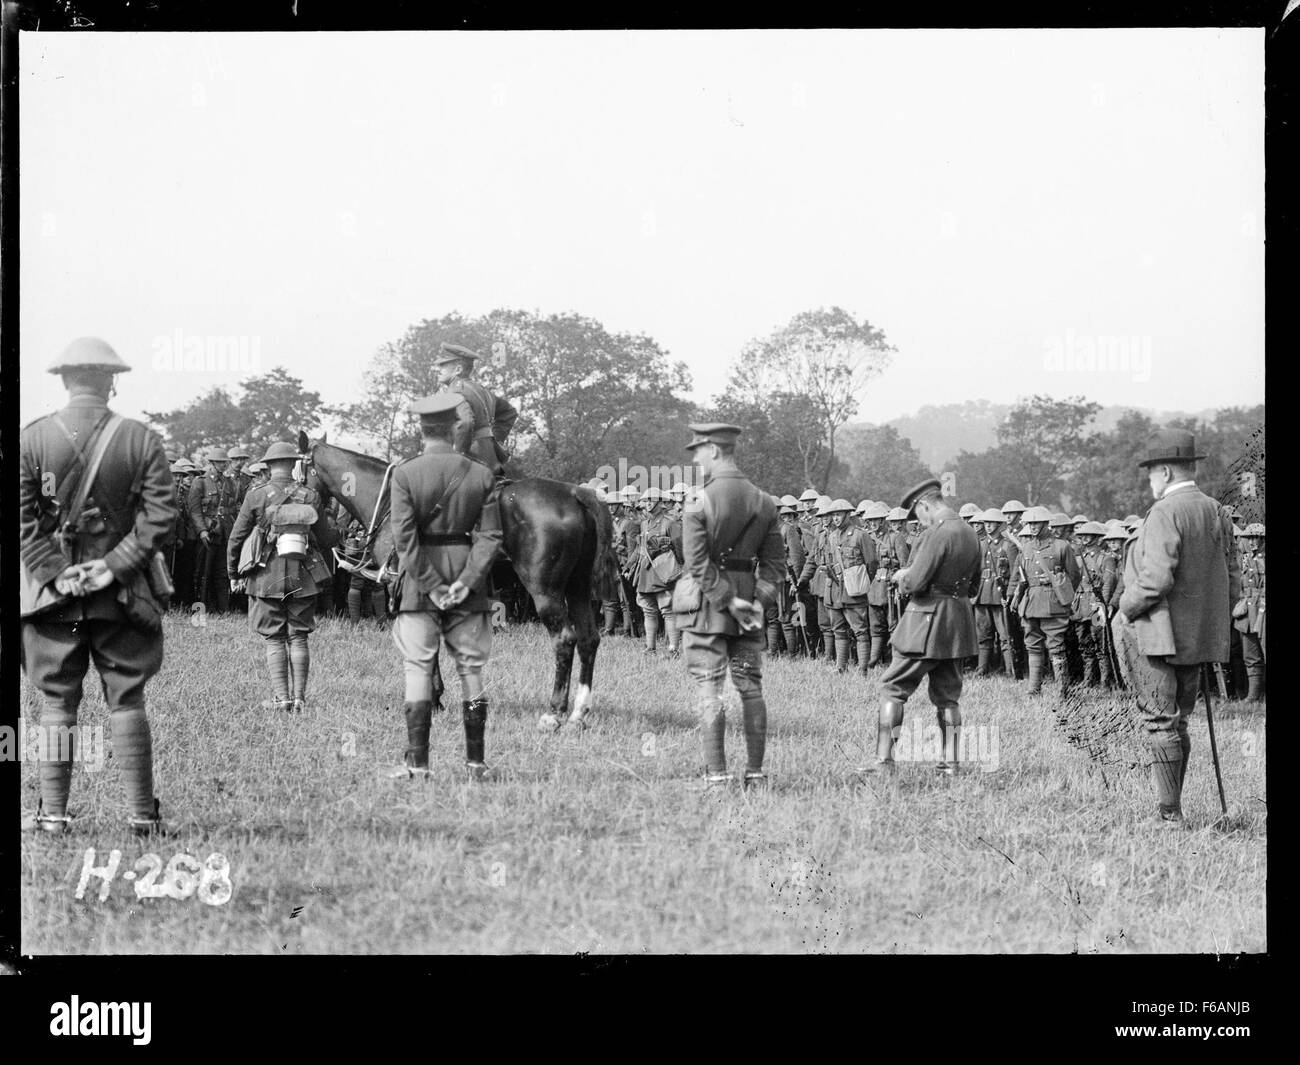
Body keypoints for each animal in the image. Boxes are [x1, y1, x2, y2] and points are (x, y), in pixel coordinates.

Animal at [299, 429, 613, 728]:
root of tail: (575, 493)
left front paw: (431, 697)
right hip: (578, 588)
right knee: (588, 639)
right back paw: (579, 712)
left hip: (545, 591)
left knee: (564, 640)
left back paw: (554, 712)